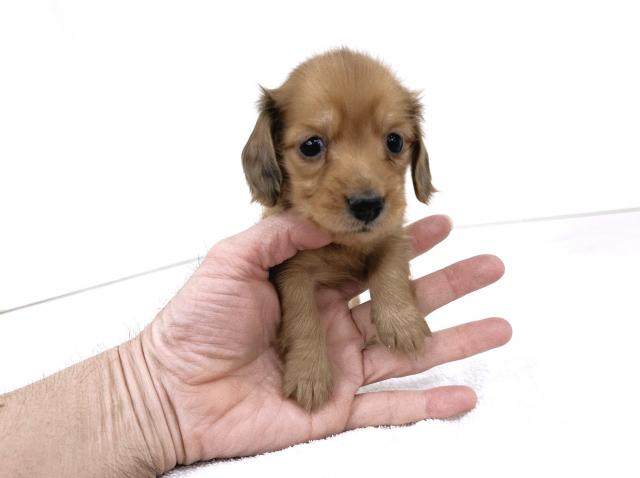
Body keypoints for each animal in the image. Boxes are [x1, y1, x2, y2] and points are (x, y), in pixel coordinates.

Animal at [242, 48, 435, 411]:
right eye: (311, 146)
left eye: (395, 141)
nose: (368, 205)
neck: (341, 243)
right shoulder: (289, 268)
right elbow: (302, 315)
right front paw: (309, 374)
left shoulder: (392, 231)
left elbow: (390, 267)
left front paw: (401, 323)